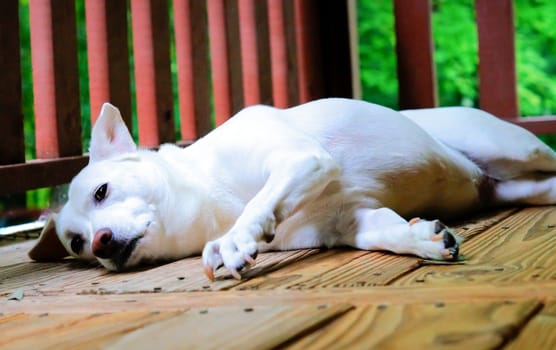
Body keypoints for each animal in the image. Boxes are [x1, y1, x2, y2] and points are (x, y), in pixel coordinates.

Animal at [29, 100, 556, 280]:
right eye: (77, 243)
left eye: (102, 191)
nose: (100, 244)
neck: (215, 199)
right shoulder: (351, 219)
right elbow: (385, 232)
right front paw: (422, 239)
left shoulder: (300, 160)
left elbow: (261, 204)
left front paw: (234, 241)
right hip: (522, 187)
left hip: (515, 148)